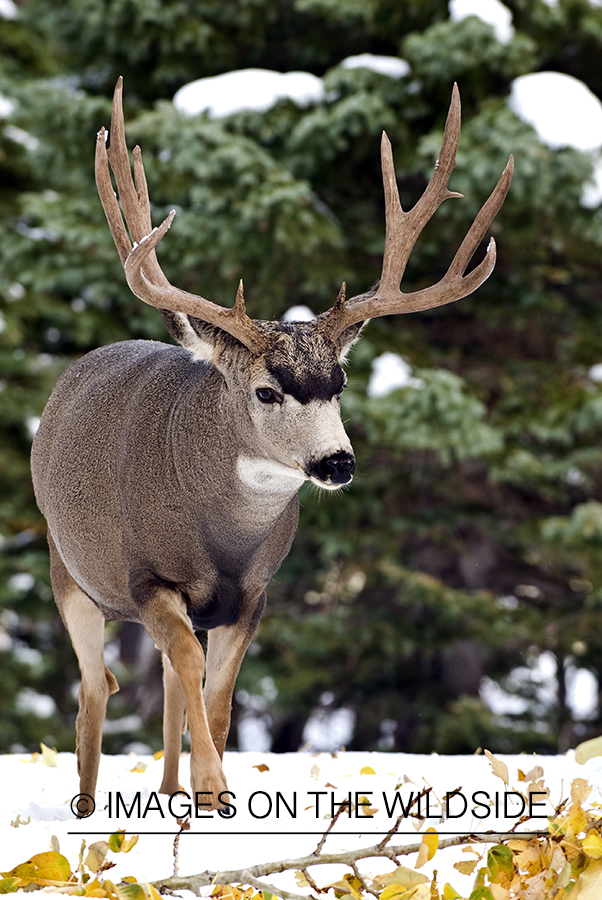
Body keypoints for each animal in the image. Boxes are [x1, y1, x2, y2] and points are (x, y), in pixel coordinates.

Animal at [31, 78, 512, 817]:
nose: (337, 462)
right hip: (68, 569)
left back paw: (168, 794)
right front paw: (213, 788)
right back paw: (89, 808)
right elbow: (190, 669)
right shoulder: (148, 577)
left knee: (159, 681)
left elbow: (218, 694)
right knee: (95, 688)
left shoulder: (254, 593)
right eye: (265, 391)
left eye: (339, 383)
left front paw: (208, 794)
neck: (222, 537)